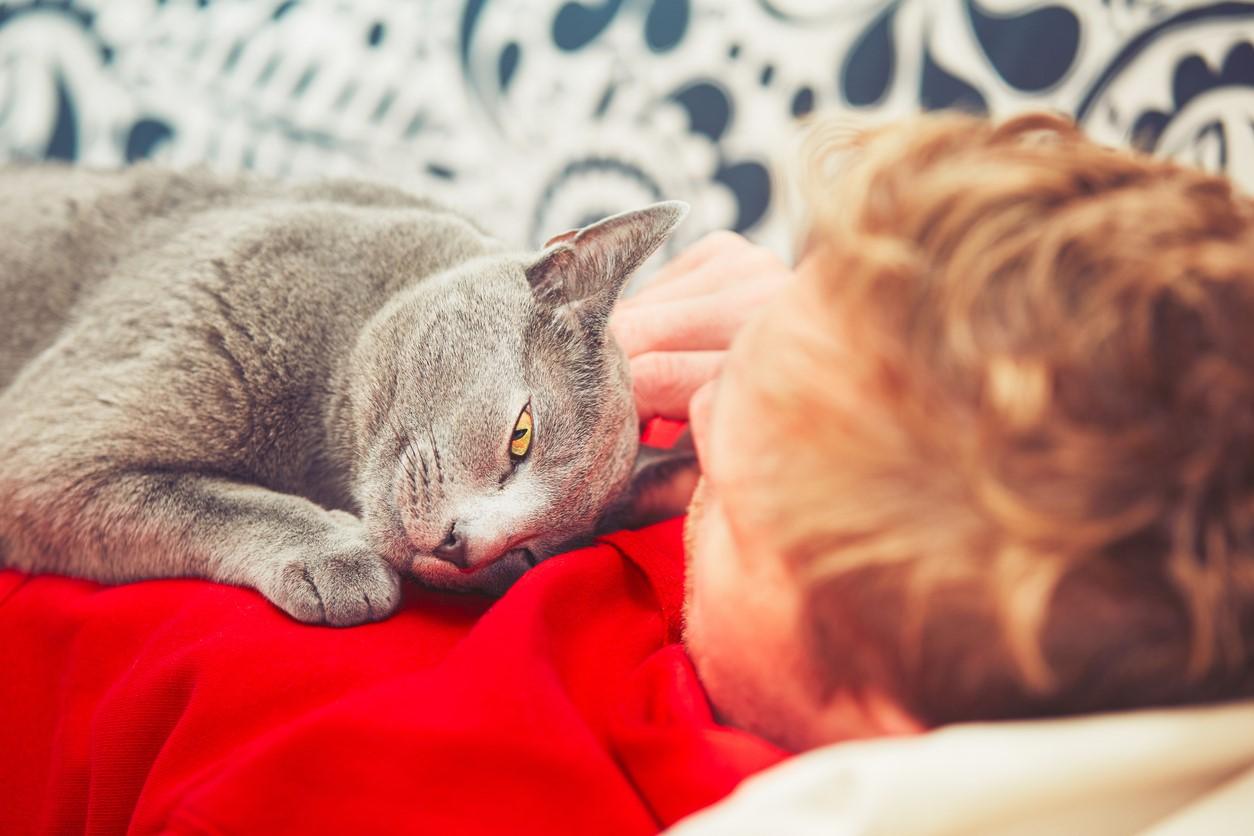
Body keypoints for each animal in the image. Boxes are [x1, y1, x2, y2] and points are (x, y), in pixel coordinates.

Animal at [0, 166, 687, 626]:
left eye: (531, 556)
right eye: (522, 435)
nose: (464, 546)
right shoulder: (45, 452)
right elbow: (215, 500)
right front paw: (338, 558)